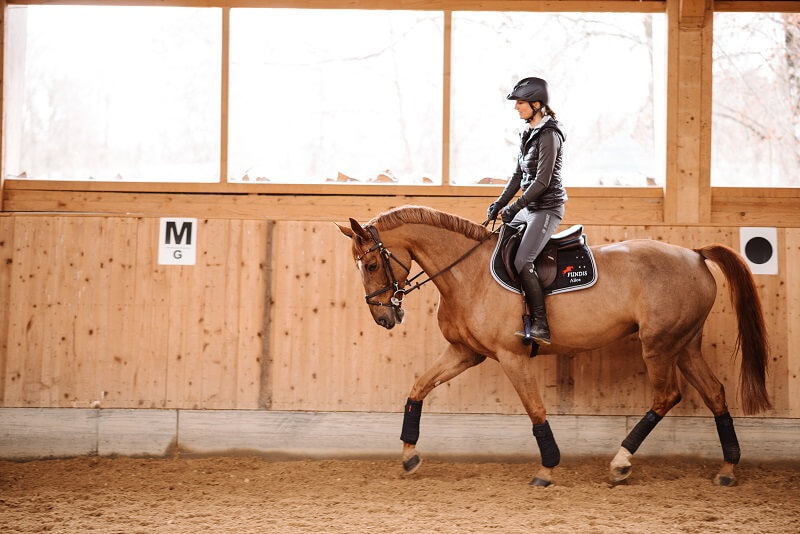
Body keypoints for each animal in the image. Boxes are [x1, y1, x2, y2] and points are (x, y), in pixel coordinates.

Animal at [336, 206, 768, 490]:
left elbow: (535, 410)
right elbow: (418, 388)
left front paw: (547, 468)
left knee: (667, 396)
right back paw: (728, 468)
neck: (468, 273)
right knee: (714, 393)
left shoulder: (511, 357)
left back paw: (620, 463)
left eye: (371, 265)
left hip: (659, 347)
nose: (383, 316)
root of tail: (694, 255)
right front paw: (409, 454)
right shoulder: (465, 353)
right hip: (685, 346)